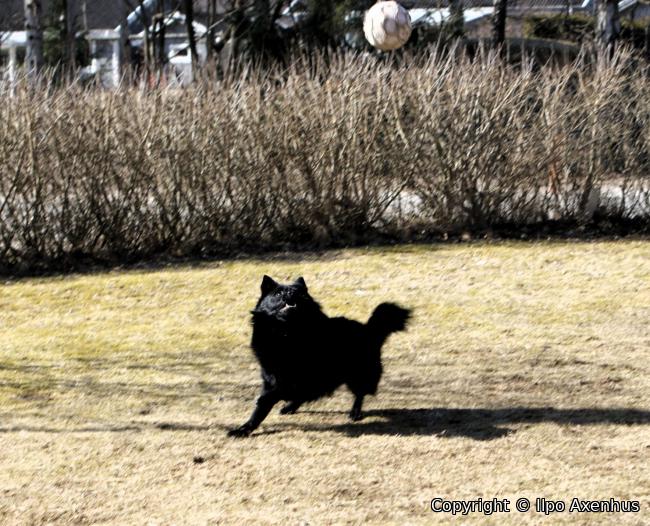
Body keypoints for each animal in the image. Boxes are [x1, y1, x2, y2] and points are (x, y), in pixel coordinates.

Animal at [228, 275, 411, 437]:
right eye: (278, 294)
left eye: (298, 292)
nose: (290, 293)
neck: (287, 333)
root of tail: (369, 329)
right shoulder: (272, 377)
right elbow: (261, 407)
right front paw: (244, 429)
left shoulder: (299, 377)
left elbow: (274, 395)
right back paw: (289, 407)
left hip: (358, 374)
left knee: (359, 393)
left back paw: (355, 412)